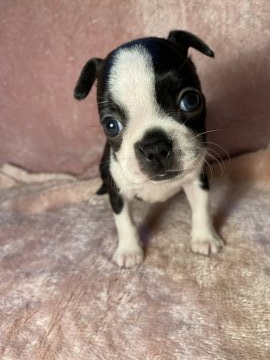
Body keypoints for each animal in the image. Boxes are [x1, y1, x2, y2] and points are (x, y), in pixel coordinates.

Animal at [73, 30, 224, 268]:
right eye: (111, 125)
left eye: (191, 100)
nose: (155, 147)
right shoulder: (119, 192)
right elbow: (124, 222)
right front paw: (129, 251)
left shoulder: (196, 178)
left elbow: (202, 208)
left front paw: (205, 238)